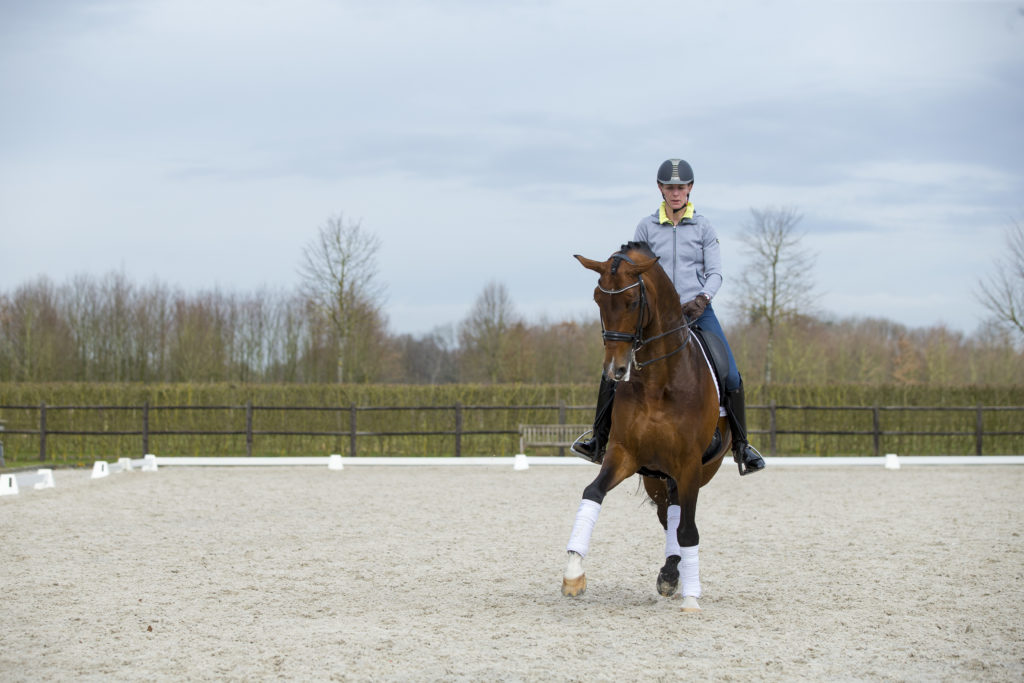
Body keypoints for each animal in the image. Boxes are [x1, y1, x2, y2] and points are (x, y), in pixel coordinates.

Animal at [561, 241, 729, 614]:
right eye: (598, 298)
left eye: (633, 301)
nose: (615, 369)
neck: (658, 381)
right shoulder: (625, 454)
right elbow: (592, 493)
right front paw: (573, 573)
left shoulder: (689, 464)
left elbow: (689, 531)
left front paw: (692, 599)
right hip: (657, 478)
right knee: (670, 515)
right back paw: (670, 574)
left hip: (695, 471)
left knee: (681, 519)